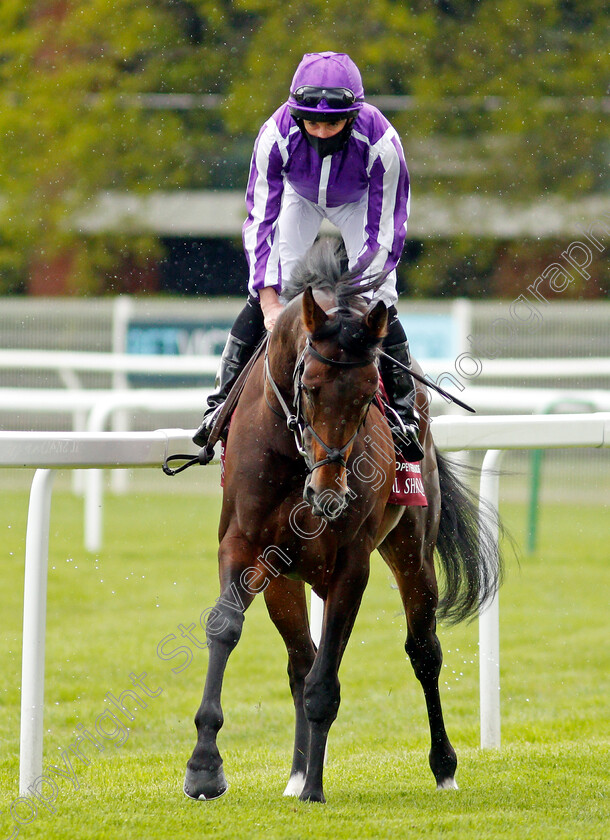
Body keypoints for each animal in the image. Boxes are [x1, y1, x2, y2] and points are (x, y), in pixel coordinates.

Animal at [183, 240, 502, 804]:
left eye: (369, 391)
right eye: (309, 387)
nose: (329, 496)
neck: (294, 457)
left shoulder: (350, 564)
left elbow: (326, 682)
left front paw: (315, 787)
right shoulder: (243, 544)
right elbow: (225, 627)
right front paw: (204, 765)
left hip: (411, 550)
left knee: (424, 650)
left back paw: (443, 765)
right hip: (282, 579)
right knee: (300, 659)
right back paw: (295, 771)